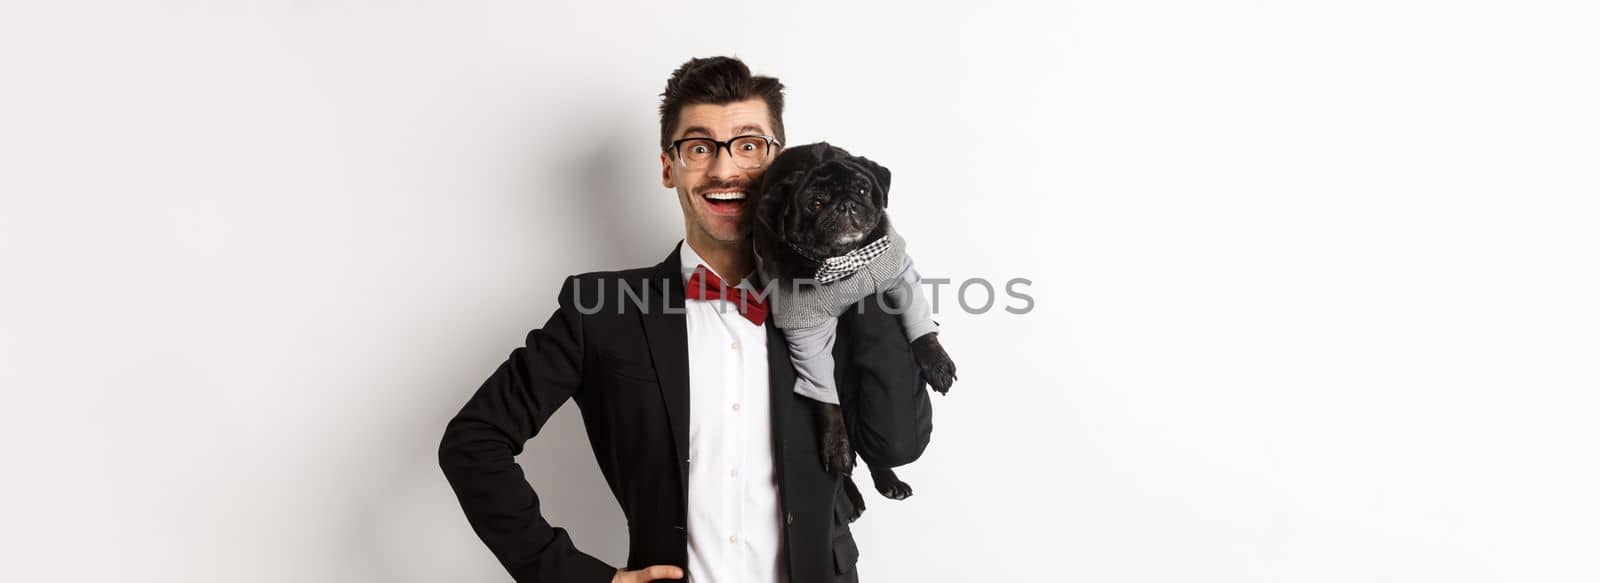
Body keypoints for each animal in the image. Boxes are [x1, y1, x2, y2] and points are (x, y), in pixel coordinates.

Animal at [745, 140, 953, 518]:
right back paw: (854, 496)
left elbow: (921, 325)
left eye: (862, 190)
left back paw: (888, 480)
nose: (846, 205)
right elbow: (828, 408)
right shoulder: (806, 334)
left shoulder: (898, 269)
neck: (842, 262)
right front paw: (836, 446)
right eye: (814, 203)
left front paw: (937, 363)